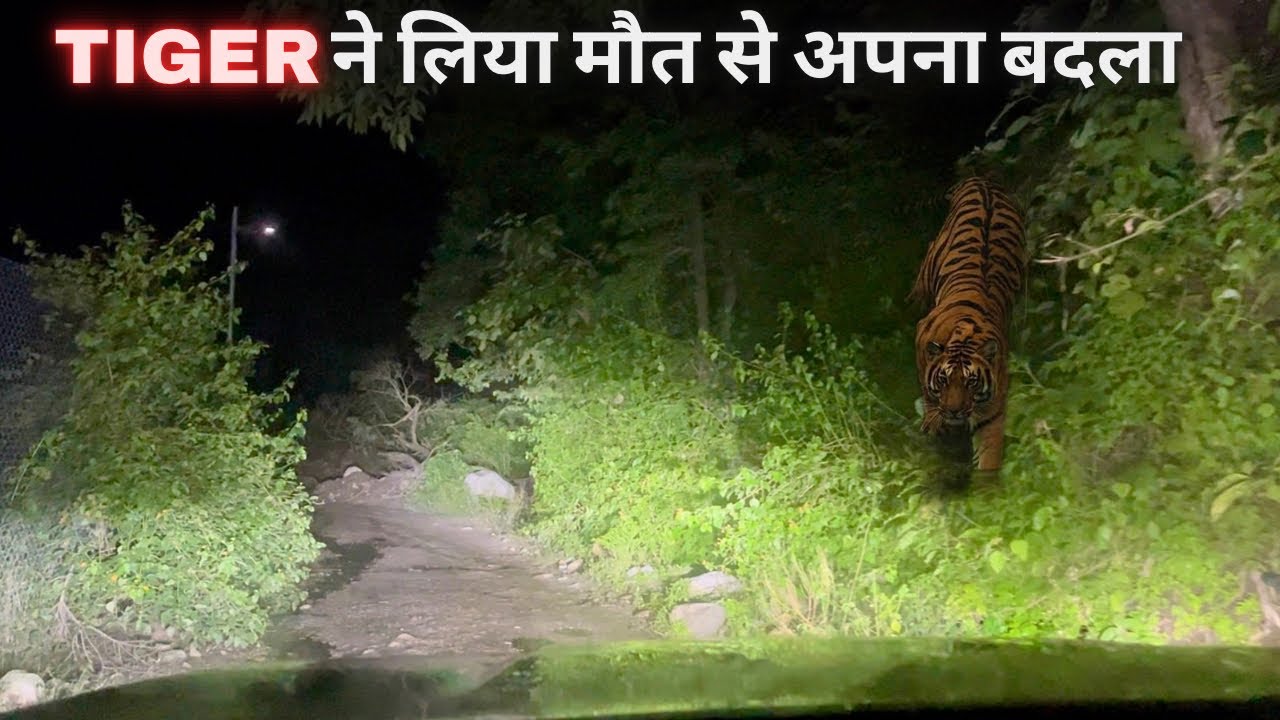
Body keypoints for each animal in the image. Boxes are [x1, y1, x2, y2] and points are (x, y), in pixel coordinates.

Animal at [909, 177, 1028, 473]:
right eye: (943, 379)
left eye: (972, 382)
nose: (953, 411)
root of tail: (983, 181)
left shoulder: (993, 412)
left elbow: (989, 458)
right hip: (927, 269)